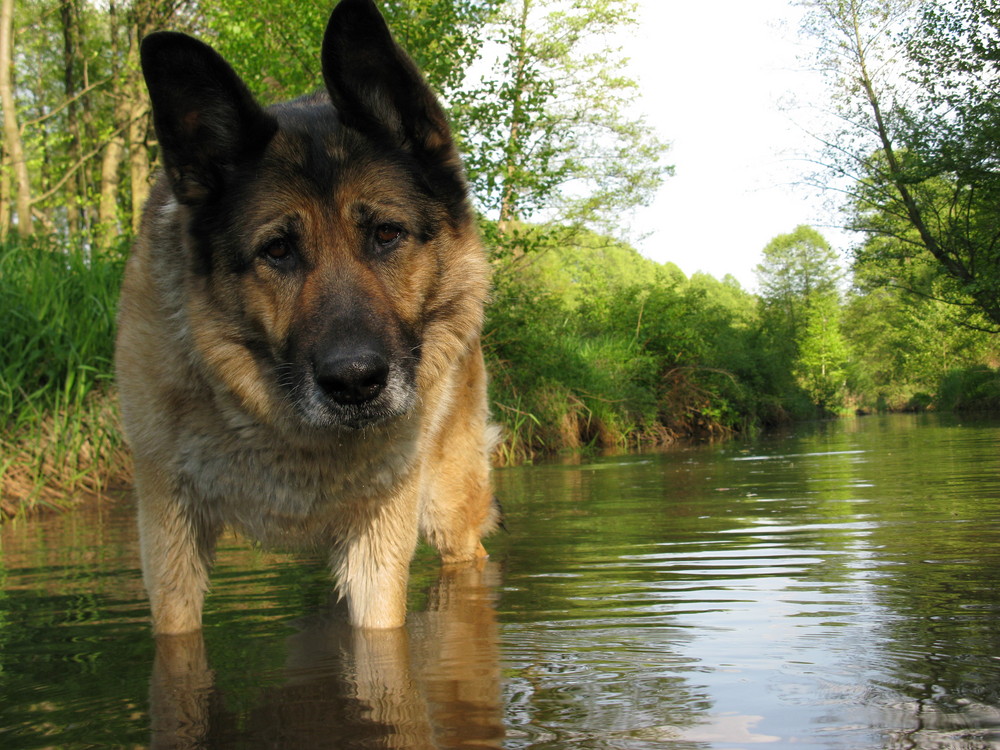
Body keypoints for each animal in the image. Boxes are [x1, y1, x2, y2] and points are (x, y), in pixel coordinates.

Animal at [117, 0, 500, 636]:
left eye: (386, 234)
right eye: (277, 250)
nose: (355, 382)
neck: (286, 433)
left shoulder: (379, 540)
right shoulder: (168, 532)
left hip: (449, 506)